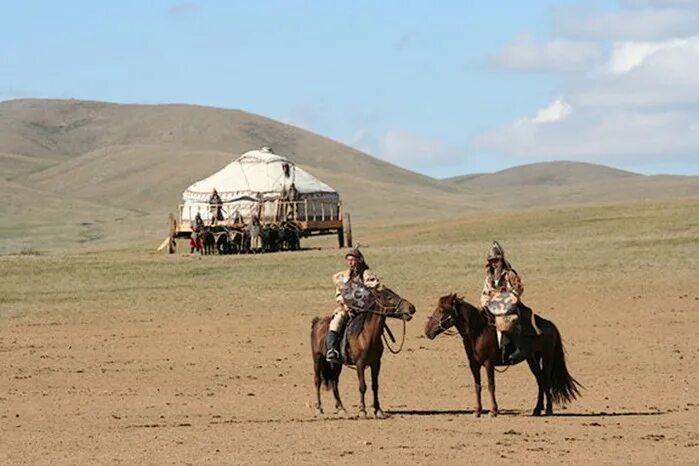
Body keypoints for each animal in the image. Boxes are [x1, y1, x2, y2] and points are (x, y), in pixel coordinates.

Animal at [310, 288, 416, 418]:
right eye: (389, 297)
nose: (411, 307)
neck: (365, 335)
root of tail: (317, 322)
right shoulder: (360, 363)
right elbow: (362, 386)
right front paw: (362, 410)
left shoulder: (376, 363)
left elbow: (375, 386)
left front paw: (378, 410)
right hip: (317, 359)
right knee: (317, 381)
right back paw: (319, 408)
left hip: (336, 363)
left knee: (335, 381)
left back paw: (341, 407)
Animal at [424, 294, 584, 416]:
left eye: (442, 309)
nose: (427, 331)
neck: (478, 331)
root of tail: (551, 325)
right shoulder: (473, 364)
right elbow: (477, 386)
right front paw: (477, 411)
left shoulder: (488, 363)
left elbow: (490, 385)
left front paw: (493, 411)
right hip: (532, 359)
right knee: (540, 380)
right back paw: (537, 410)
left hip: (547, 356)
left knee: (546, 380)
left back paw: (549, 410)